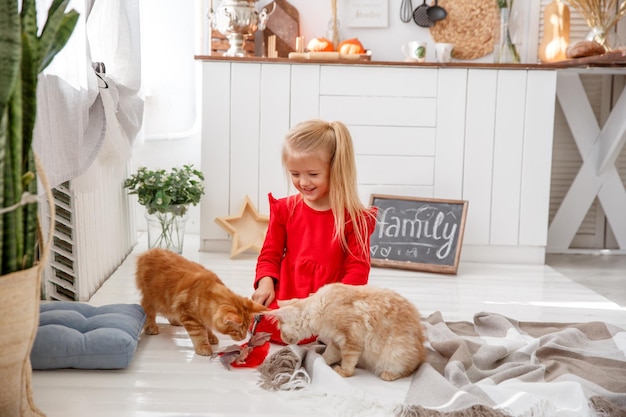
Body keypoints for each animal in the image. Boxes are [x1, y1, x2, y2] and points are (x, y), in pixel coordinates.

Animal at [136, 247, 266, 354]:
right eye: (236, 331)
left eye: (246, 328)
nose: (243, 338)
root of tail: (149, 251)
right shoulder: (190, 317)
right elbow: (199, 334)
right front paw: (203, 346)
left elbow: (207, 328)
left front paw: (211, 336)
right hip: (152, 298)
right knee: (147, 310)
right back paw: (151, 327)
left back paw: (175, 321)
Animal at [260, 282, 426, 380]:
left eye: (280, 330)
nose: (283, 338)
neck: (318, 306)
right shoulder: (337, 341)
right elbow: (328, 355)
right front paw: (321, 360)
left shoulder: (351, 339)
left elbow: (348, 362)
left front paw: (342, 371)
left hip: (396, 353)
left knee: (407, 370)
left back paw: (388, 373)